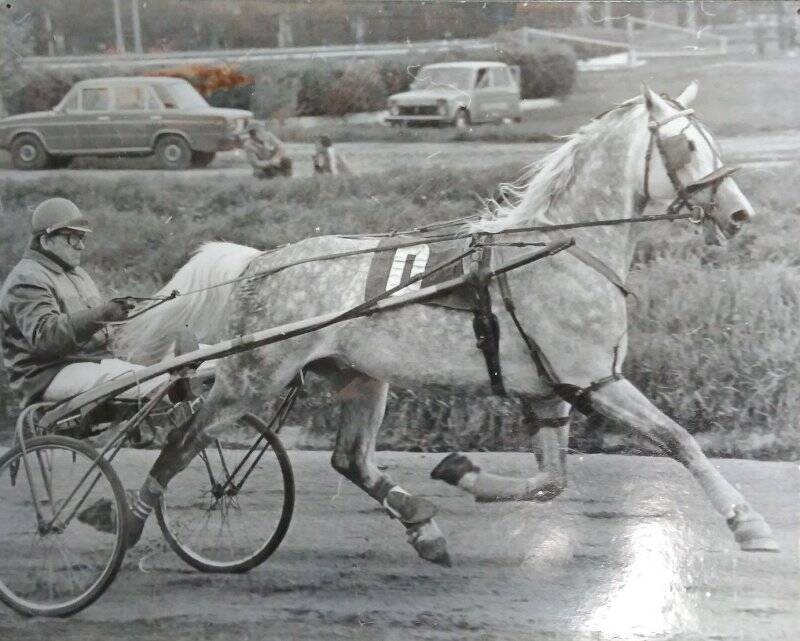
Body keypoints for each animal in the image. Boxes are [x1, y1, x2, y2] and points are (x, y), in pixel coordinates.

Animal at [115, 85, 780, 564]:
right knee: (185, 438)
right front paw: (748, 523)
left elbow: (551, 482)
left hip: (361, 376)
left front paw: (463, 472)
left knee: (350, 460)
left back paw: (421, 524)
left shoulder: (551, 391)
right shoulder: (597, 381)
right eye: (687, 146)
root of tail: (260, 262)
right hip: (253, 375)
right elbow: (679, 439)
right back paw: (125, 521)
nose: (739, 213)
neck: (561, 251)